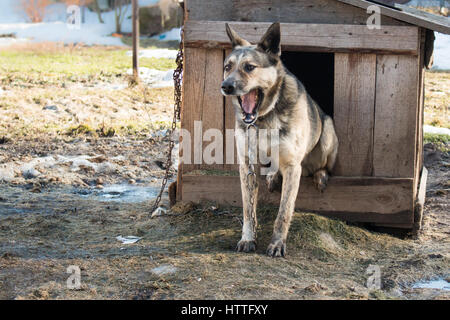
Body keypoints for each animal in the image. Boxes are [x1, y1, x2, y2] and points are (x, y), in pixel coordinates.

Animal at [220, 22, 340, 258]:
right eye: (228, 67)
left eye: (249, 67)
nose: (226, 86)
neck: (263, 118)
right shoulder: (246, 165)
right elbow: (248, 210)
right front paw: (248, 238)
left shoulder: (293, 167)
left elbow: (283, 212)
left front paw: (277, 244)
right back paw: (273, 175)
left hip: (327, 134)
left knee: (322, 165)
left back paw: (320, 175)